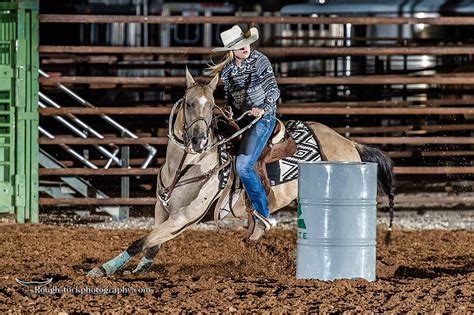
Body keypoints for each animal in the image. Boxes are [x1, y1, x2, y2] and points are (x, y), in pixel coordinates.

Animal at [87, 69, 394, 278]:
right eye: (188, 103)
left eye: (211, 106)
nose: (199, 141)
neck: (185, 166)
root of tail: (349, 143)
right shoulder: (163, 211)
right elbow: (151, 245)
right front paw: (137, 270)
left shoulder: (186, 216)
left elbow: (140, 241)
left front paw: (102, 270)